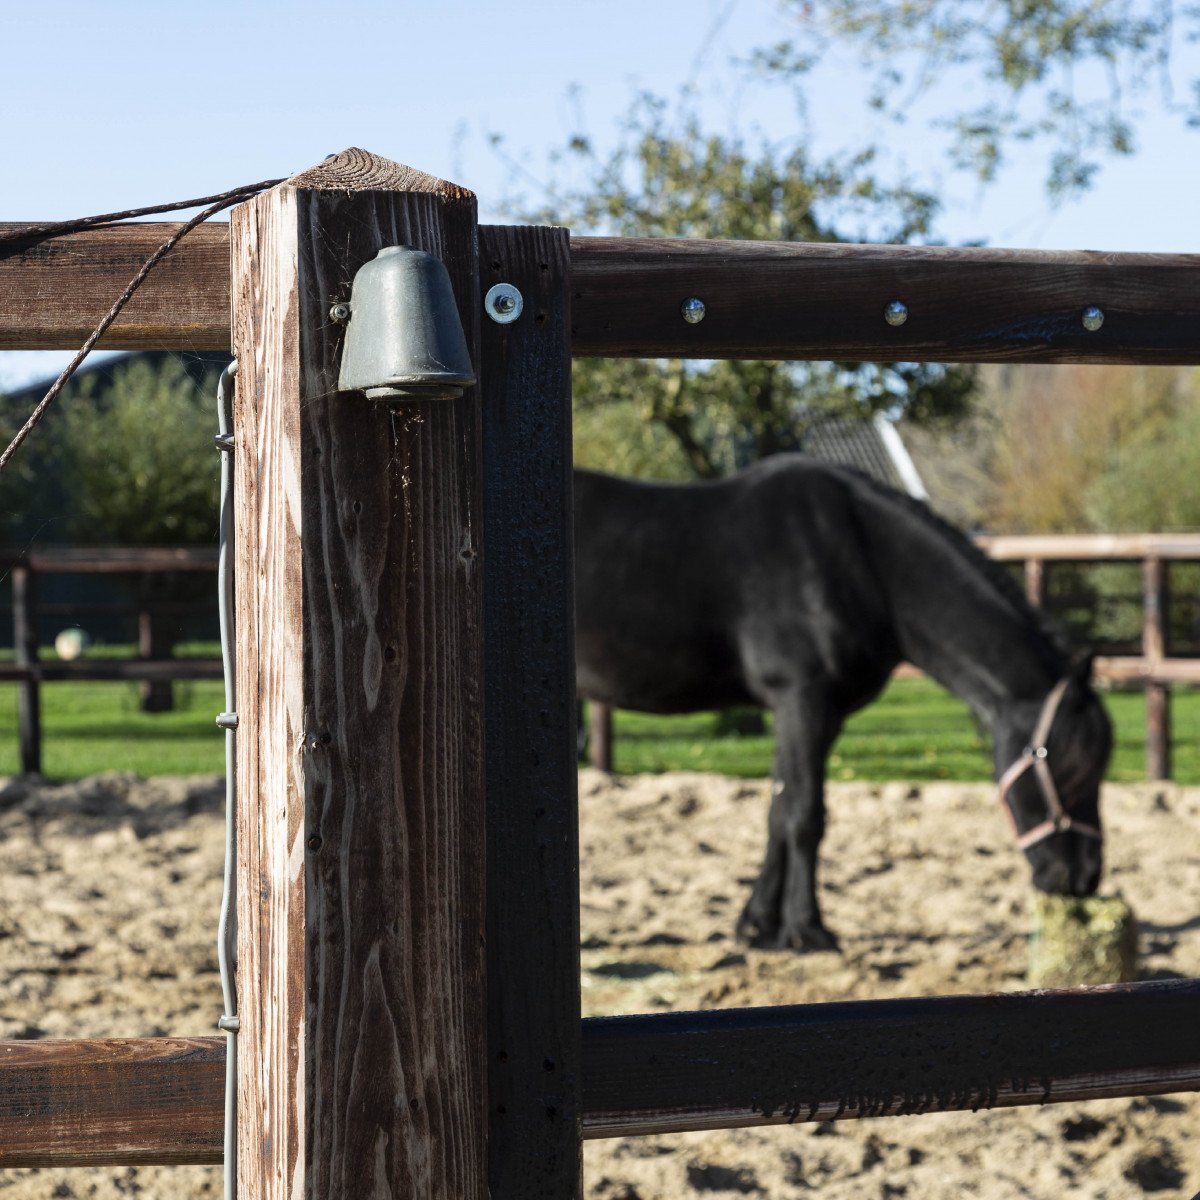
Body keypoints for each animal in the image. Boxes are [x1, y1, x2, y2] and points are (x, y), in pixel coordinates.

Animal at [573, 453, 1113, 950]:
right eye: (1065, 764)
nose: (1082, 877)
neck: (861, 560)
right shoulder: (803, 702)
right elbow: (805, 815)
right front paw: (807, 929)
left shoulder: (810, 714)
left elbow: (778, 811)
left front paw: (758, 925)